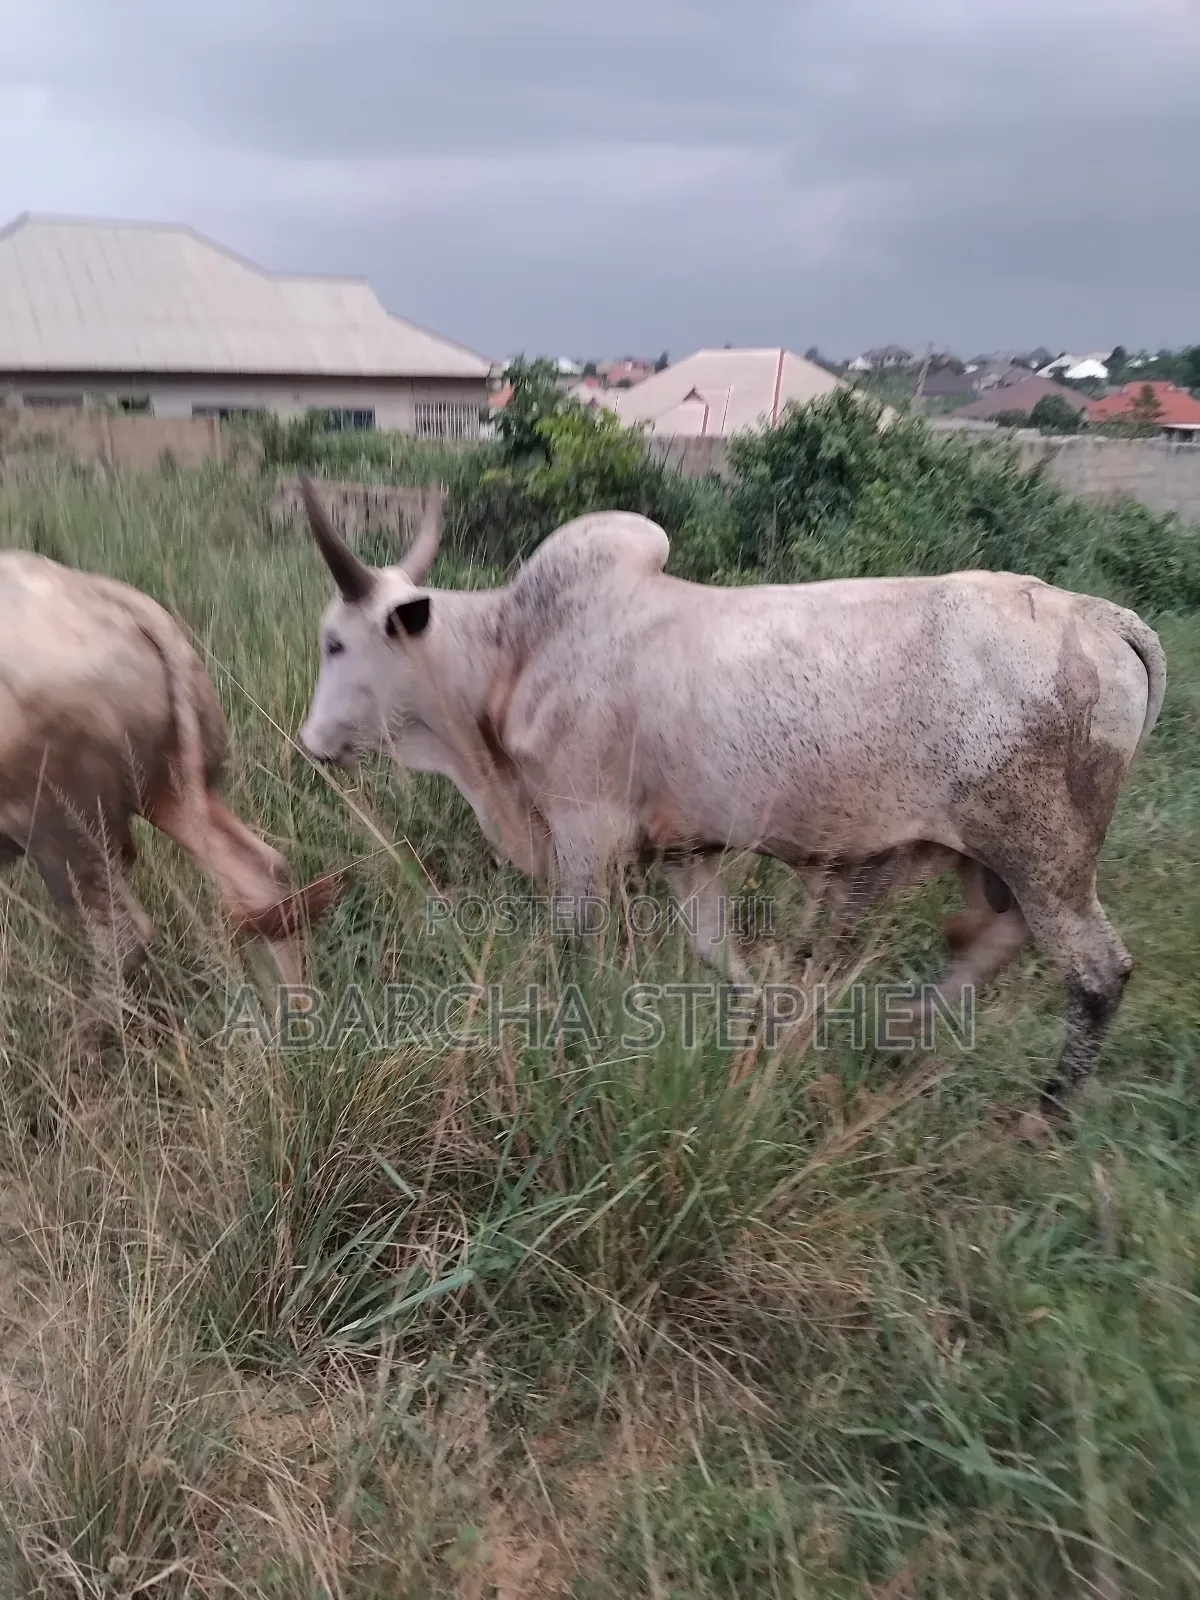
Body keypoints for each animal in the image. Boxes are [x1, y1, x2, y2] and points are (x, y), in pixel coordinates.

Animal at [0, 548, 344, 1036]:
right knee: (260, 879)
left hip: (58, 826)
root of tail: (105, 598)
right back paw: (289, 1017)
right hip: (170, 787)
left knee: (125, 939)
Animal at [295, 475, 1166, 1124]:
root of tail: (1099, 615)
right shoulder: (689, 849)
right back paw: (898, 1031)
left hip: (1043, 856)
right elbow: (719, 952)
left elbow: (573, 948)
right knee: (998, 939)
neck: (515, 650)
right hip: (1001, 863)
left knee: (1097, 972)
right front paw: (766, 1022)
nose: (311, 741)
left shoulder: (582, 830)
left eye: (336, 642)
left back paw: (1041, 1117)